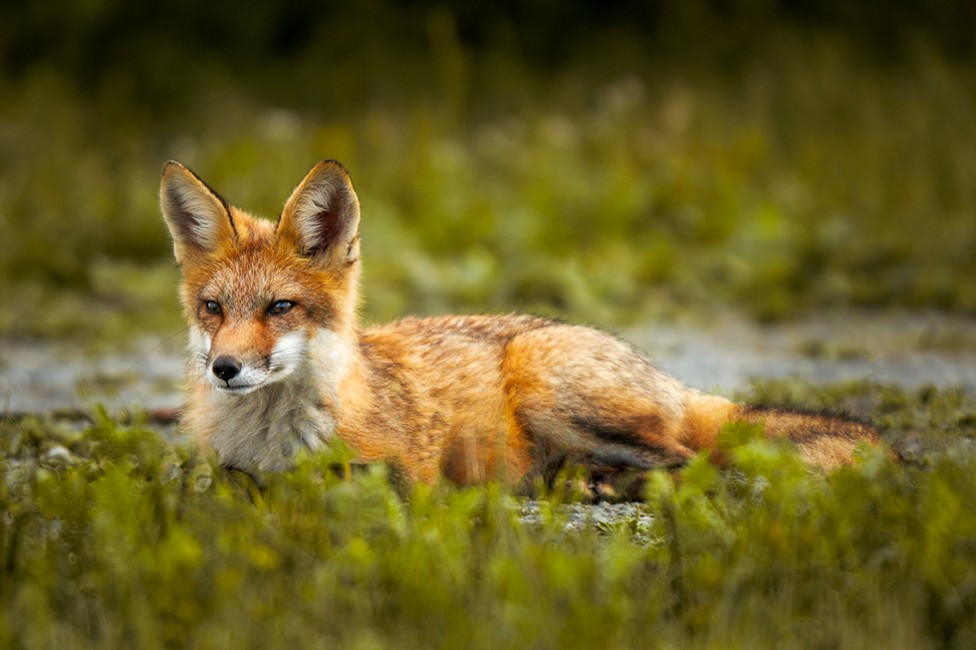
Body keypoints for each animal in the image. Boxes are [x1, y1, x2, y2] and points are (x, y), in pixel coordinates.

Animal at [158, 158, 876, 492]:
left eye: (280, 308)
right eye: (214, 308)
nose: (225, 368)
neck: (272, 439)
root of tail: (665, 377)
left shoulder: (407, 476)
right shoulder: (225, 471)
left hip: (547, 386)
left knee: (692, 462)